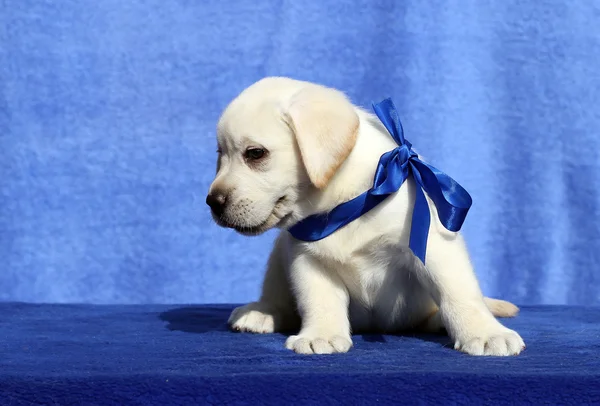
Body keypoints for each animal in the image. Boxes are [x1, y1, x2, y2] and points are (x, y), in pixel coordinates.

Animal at [207, 76, 524, 356]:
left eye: (255, 153)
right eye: (220, 154)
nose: (212, 202)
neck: (347, 203)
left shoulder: (434, 246)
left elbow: (459, 292)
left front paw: (486, 334)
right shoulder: (306, 258)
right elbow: (319, 300)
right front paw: (321, 335)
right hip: (277, 255)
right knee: (277, 296)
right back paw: (262, 312)